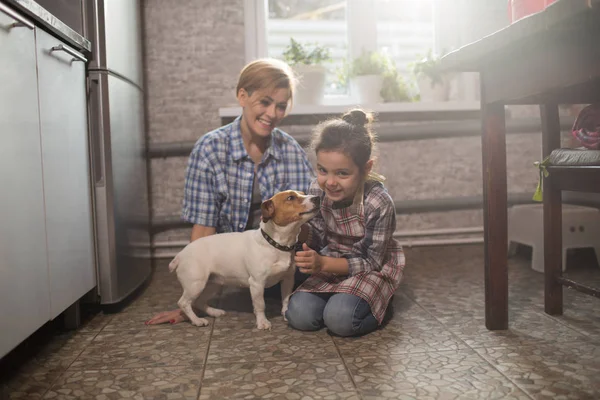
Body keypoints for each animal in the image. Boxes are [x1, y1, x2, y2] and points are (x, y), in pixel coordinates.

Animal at [166, 190, 322, 328]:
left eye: (303, 193)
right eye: (290, 198)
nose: (317, 197)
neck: (275, 244)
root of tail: (180, 255)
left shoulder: (288, 279)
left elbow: (286, 300)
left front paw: (285, 313)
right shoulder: (257, 283)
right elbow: (260, 305)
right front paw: (262, 322)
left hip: (213, 284)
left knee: (199, 302)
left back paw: (214, 312)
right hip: (195, 284)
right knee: (184, 303)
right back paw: (197, 320)